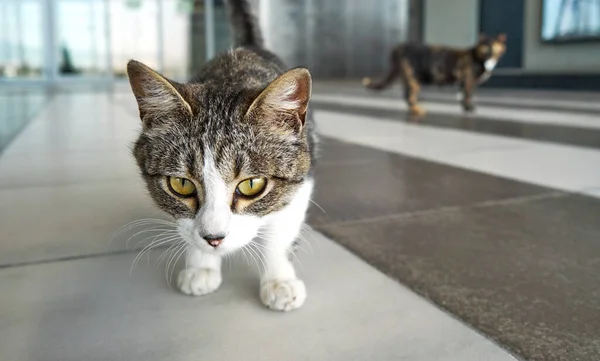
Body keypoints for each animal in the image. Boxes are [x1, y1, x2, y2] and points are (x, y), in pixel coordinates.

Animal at [125, 0, 316, 310]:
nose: (214, 240)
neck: (231, 74)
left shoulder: (303, 175)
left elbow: (279, 230)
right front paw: (201, 265)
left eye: (252, 185)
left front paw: (279, 280)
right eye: (181, 184)